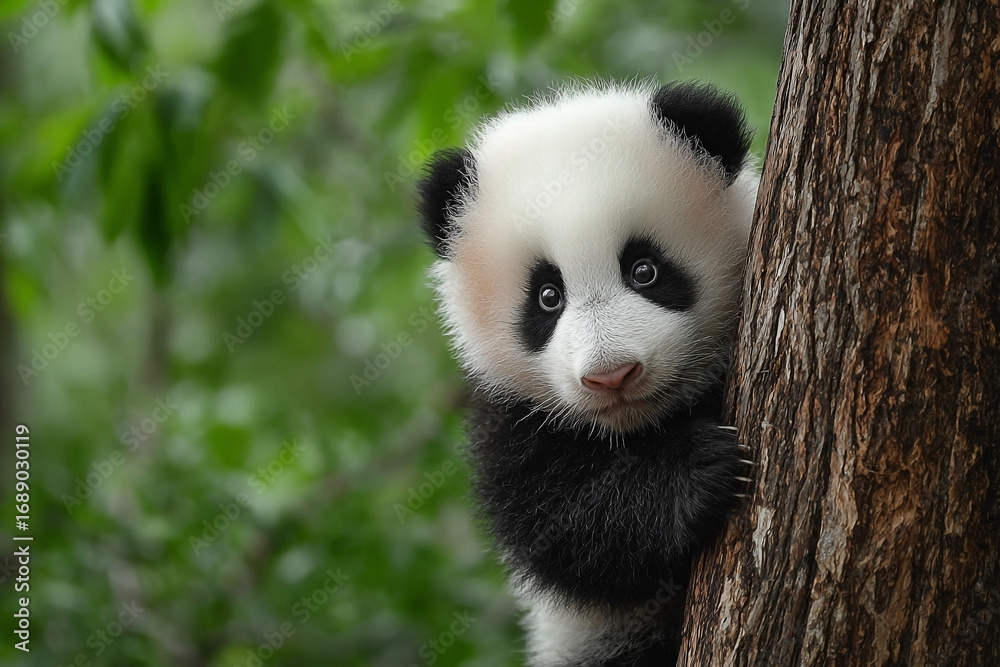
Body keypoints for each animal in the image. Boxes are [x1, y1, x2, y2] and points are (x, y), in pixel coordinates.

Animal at [416, 80, 757, 666]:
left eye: (644, 270)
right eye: (548, 296)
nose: (612, 376)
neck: (638, 427)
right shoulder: (511, 414)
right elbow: (566, 529)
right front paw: (698, 466)